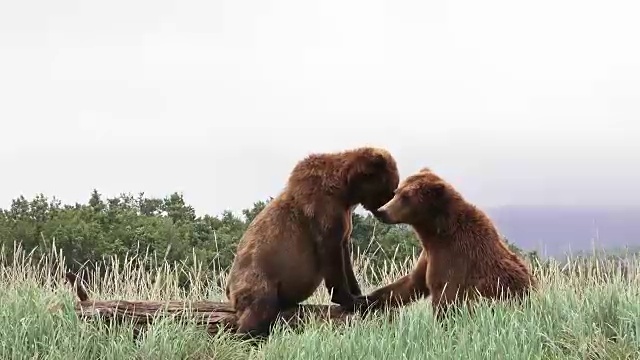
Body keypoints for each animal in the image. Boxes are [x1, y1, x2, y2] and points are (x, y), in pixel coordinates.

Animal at [222, 146, 398, 338]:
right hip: (258, 279)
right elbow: (331, 254)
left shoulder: (344, 221)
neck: (346, 192)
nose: (384, 211)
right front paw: (352, 300)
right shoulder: (324, 210)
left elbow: (345, 257)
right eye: (391, 189)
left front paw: (361, 295)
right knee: (259, 310)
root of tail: (229, 289)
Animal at [362, 167, 536, 320]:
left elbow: (445, 298)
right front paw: (367, 300)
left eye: (406, 196)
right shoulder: (429, 254)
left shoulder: (453, 256)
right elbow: (411, 283)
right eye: (397, 192)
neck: (436, 232)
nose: (381, 211)